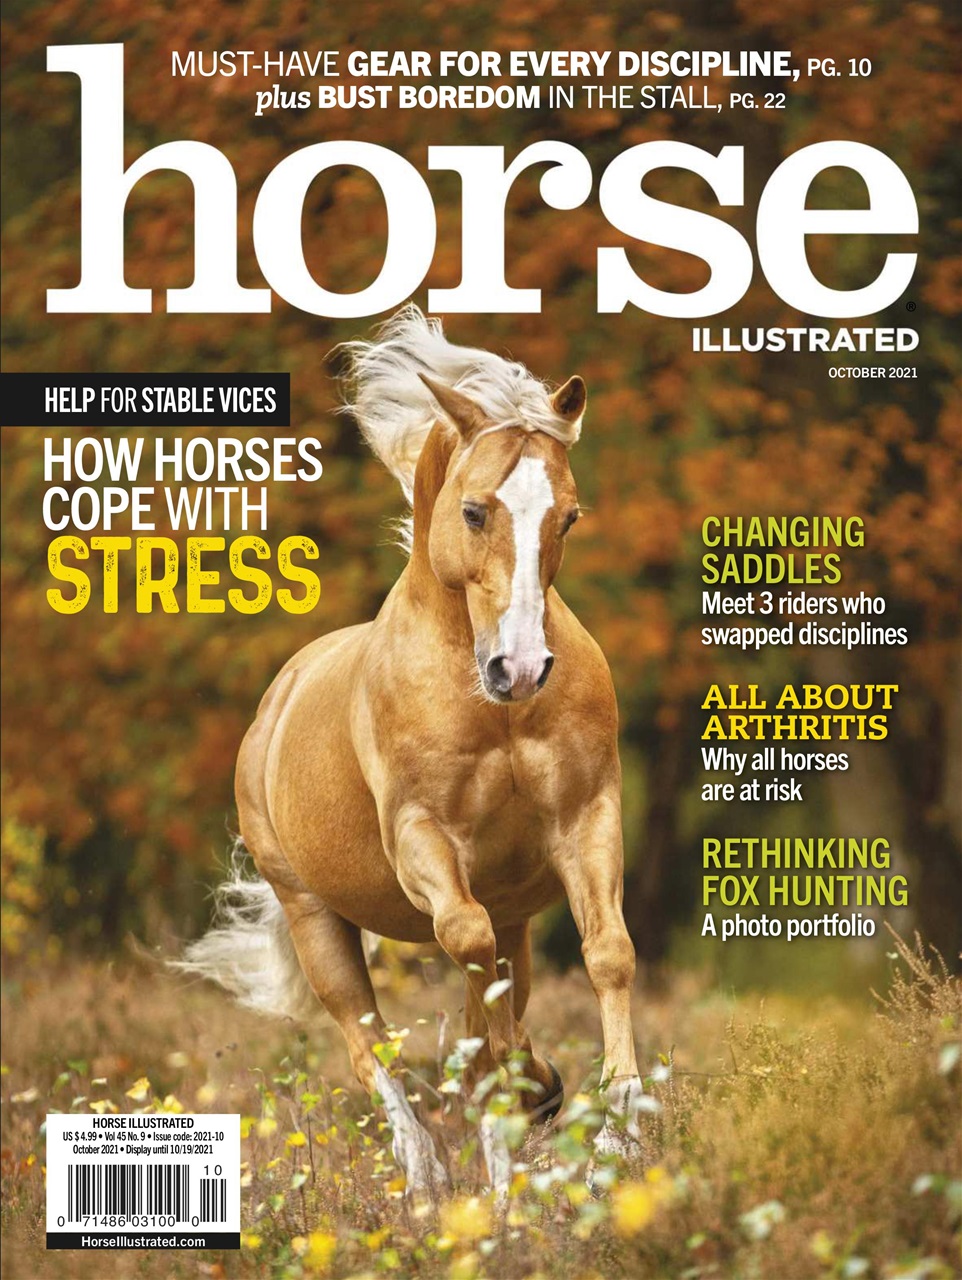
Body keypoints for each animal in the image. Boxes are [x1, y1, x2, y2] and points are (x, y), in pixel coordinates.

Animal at [180, 306, 646, 1197]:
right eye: (474, 511)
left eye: (568, 517)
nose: (521, 669)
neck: (492, 711)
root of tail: (276, 703)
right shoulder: (420, 838)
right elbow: (464, 951)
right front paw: (524, 1097)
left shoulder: (587, 817)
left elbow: (606, 954)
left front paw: (620, 1131)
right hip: (312, 915)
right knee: (369, 1042)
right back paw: (427, 1176)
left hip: (513, 912)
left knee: (488, 998)